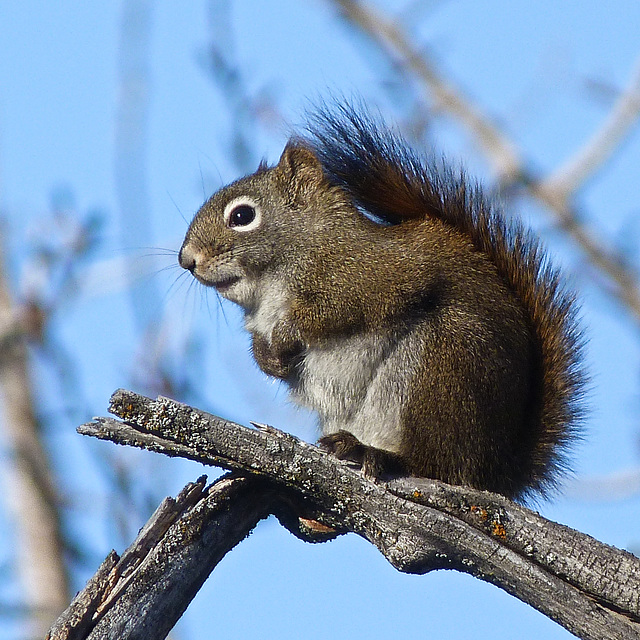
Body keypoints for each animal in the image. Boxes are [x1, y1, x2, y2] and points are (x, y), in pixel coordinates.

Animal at [176, 104, 584, 500]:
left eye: (242, 215)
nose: (187, 260)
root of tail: (494, 472)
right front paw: (268, 358)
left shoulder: (378, 273)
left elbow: (336, 310)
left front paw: (288, 333)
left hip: (445, 367)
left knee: (438, 464)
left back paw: (377, 455)